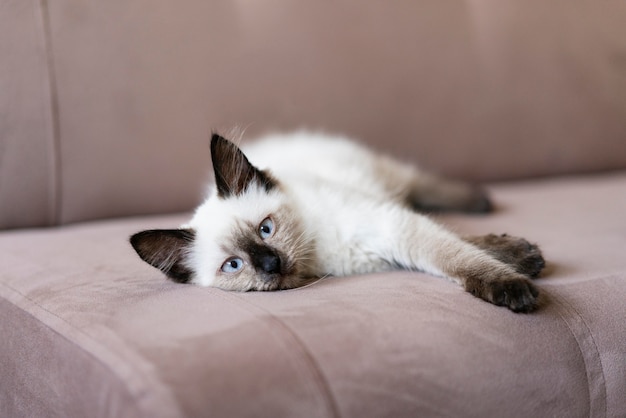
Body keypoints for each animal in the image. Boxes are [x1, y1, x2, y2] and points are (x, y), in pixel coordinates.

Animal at [129, 132, 544, 312]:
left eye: (266, 228)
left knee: (423, 185)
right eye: (233, 266)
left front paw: (518, 272)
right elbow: (462, 248)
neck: (319, 255)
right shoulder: (389, 241)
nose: (271, 264)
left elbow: (459, 254)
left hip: (386, 178)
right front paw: (521, 261)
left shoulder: (391, 225)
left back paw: (480, 201)